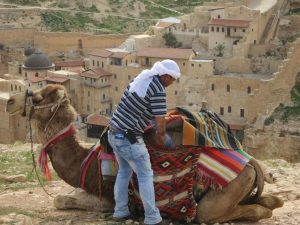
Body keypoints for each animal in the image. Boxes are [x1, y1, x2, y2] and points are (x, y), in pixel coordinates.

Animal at [6, 84, 284, 223]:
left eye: (38, 98)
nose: (9, 101)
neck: (87, 162)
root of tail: (251, 164)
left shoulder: (108, 196)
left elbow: (61, 200)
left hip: (224, 191)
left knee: (216, 214)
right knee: (270, 202)